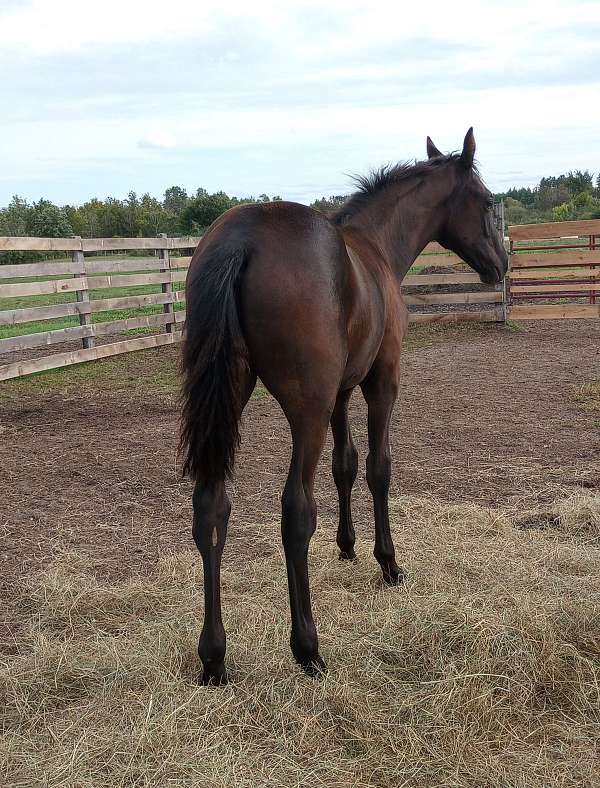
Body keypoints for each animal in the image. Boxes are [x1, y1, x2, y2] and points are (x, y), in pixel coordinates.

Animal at [180, 128, 508, 685]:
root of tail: (242, 238)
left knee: (211, 508)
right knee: (295, 512)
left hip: (236, 402)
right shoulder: (380, 382)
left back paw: (214, 657)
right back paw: (307, 648)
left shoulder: (341, 392)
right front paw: (387, 562)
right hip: (306, 411)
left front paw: (348, 545)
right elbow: (378, 467)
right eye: (486, 201)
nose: (501, 265)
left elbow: (346, 465)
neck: (374, 249)